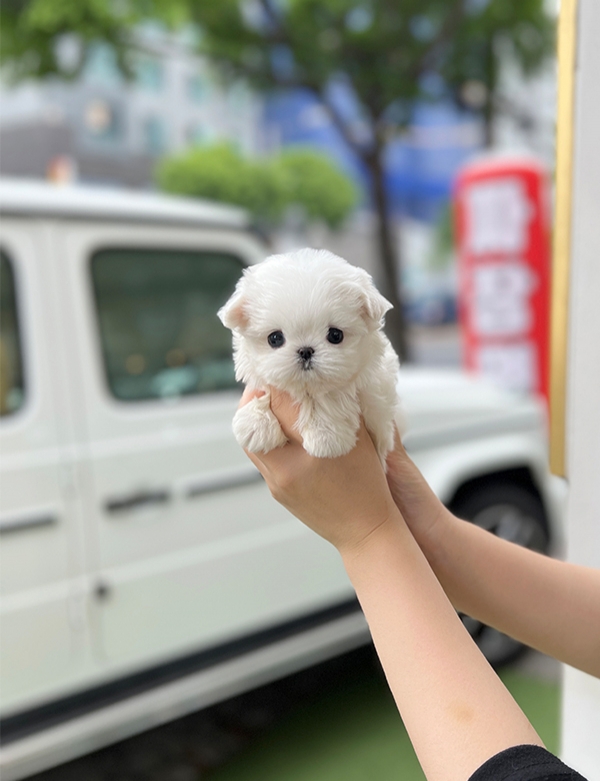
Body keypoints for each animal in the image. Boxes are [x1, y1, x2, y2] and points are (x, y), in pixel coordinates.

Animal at [218, 248, 400, 464]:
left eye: (335, 335)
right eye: (275, 338)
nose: (305, 351)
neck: (304, 389)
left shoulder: (375, 388)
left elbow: (331, 394)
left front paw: (326, 436)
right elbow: (264, 390)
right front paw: (256, 425)